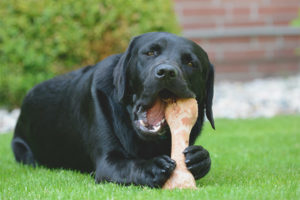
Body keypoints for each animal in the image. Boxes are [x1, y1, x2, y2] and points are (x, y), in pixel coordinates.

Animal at [11, 32, 214, 188]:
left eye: (191, 63)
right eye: (150, 52)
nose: (167, 72)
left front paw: (199, 157)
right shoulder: (108, 163)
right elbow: (132, 165)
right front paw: (153, 166)